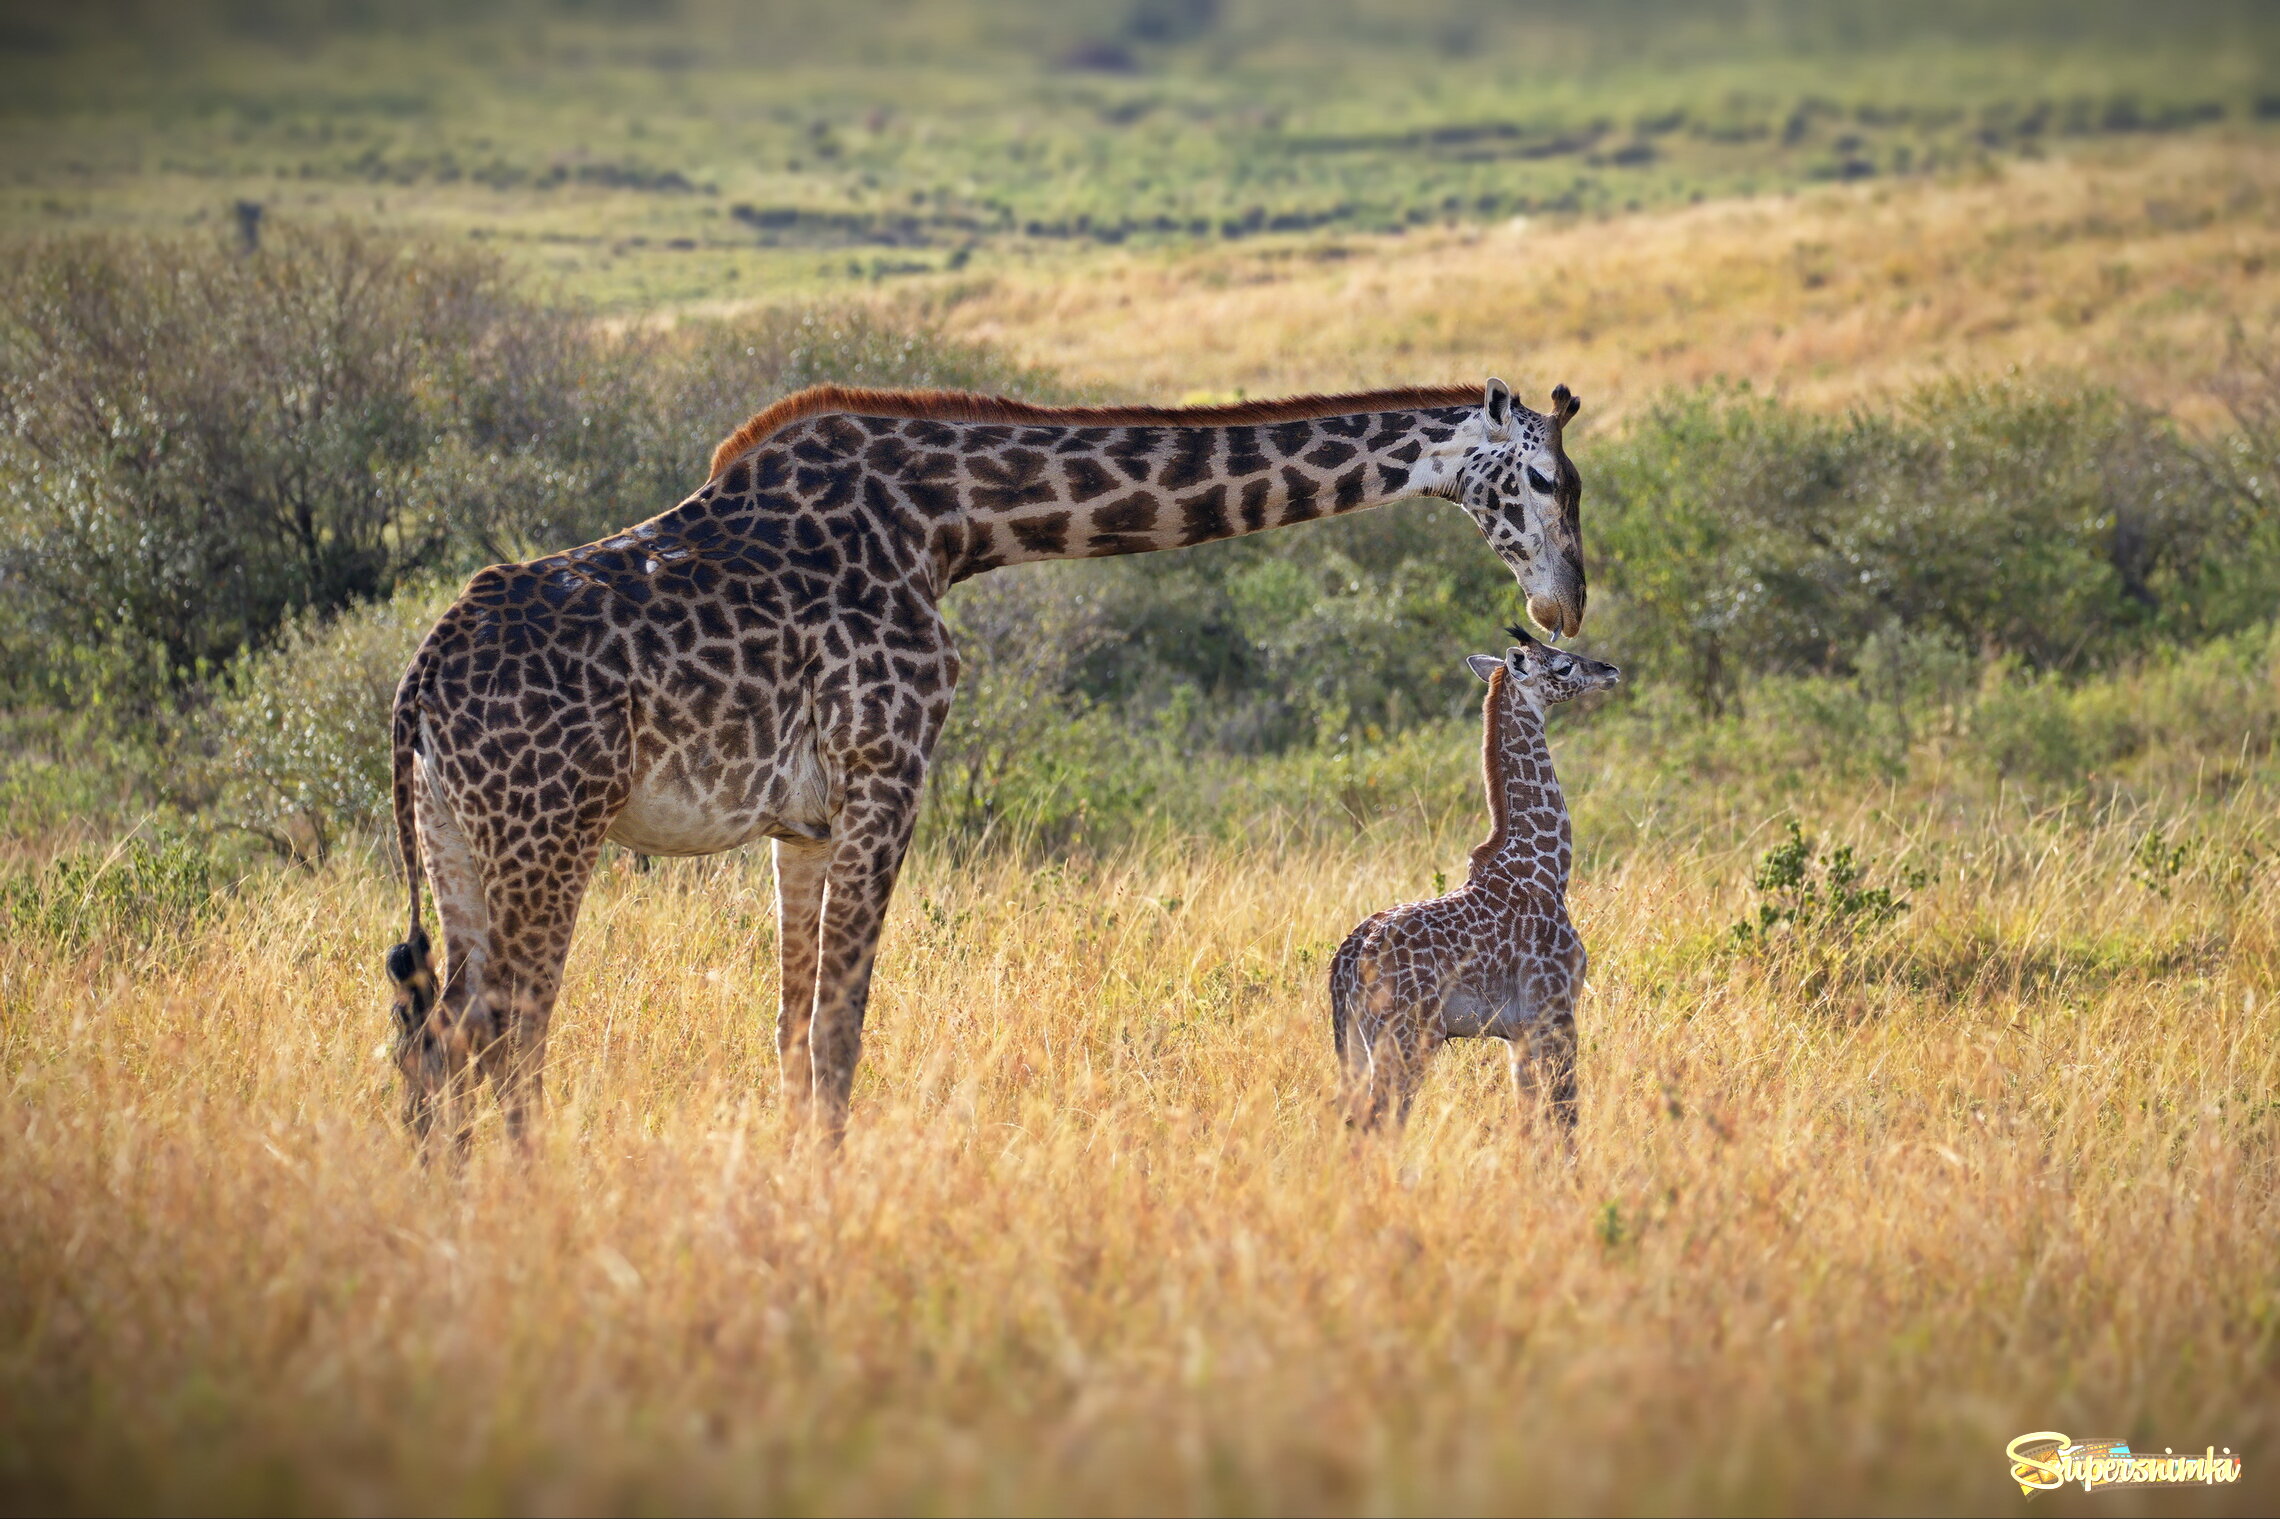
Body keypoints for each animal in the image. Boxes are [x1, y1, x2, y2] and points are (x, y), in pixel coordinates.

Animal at [383, 371, 1586, 1140]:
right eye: (1541, 483)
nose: (1563, 604)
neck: (949, 522)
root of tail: (420, 682)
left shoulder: (802, 820)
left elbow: (790, 1032)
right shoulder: (888, 766)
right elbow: (839, 1029)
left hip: (461, 843)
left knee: (434, 1034)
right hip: (547, 832)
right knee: (504, 1033)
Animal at [1322, 620, 1623, 1131]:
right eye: (1563, 665)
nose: (1609, 670)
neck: (1546, 866)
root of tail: (1346, 961)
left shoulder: (1517, 1034)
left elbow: (1530, 1119)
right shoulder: (1556, 1009)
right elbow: (1566, 1114)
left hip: (1355, 1043)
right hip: (1408, 1037)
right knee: (1380, 1119)